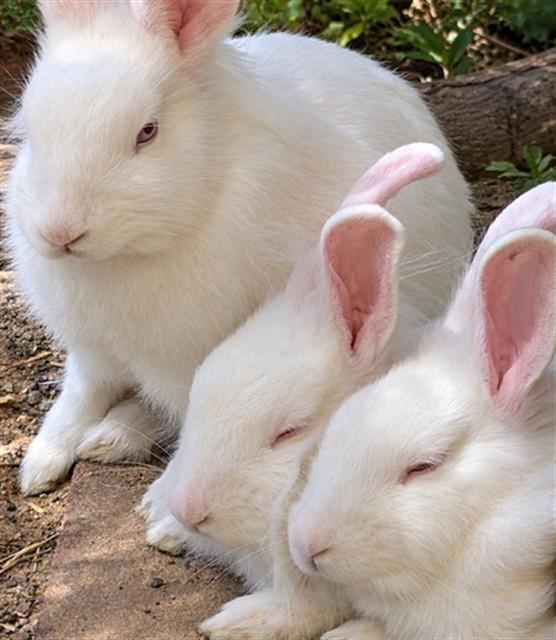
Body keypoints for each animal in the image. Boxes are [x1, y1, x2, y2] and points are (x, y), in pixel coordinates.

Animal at [5, 0, 473, 497]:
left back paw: (113, 438)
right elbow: (78, 397)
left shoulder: (187, 363)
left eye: (147, 132)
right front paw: (37, 467)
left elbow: (192, 422)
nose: (59, 231)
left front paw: (165, 502)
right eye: (31, 127)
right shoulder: (91, 352)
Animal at [144, 144, 473, 639]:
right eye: (200, 392)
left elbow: (306, 611)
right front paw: (167, 529)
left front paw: (236, 622)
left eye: (289, 431)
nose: (189, 509)